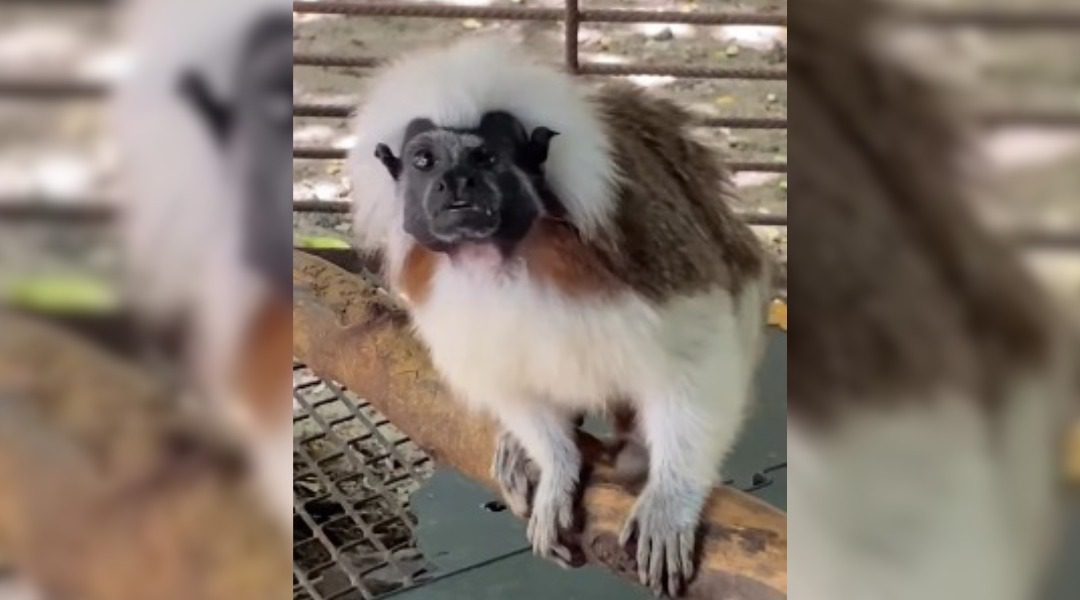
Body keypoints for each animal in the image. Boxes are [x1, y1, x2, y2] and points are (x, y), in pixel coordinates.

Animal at [350, 37, 770, 596]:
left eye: (484, 157)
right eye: (425, 160)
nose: (455, 183)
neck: (501, 257)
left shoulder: (639, 248)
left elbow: (698, 351)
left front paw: (670, 498)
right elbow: (512, 387)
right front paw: (556, 466)